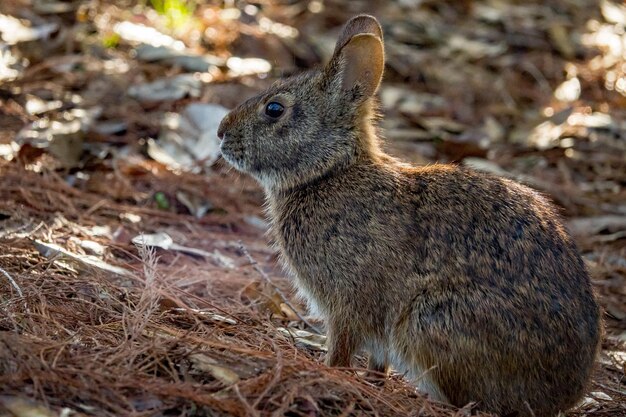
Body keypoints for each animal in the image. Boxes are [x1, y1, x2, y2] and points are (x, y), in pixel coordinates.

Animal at [216, 14, 600, 416]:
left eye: (274, 109)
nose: (222, 132)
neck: (329, 172)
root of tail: (564, 393)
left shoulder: (346, 303)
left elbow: (341, 347)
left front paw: (328, 371)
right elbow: (376, 362)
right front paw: (371, 382)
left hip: (430, 322)